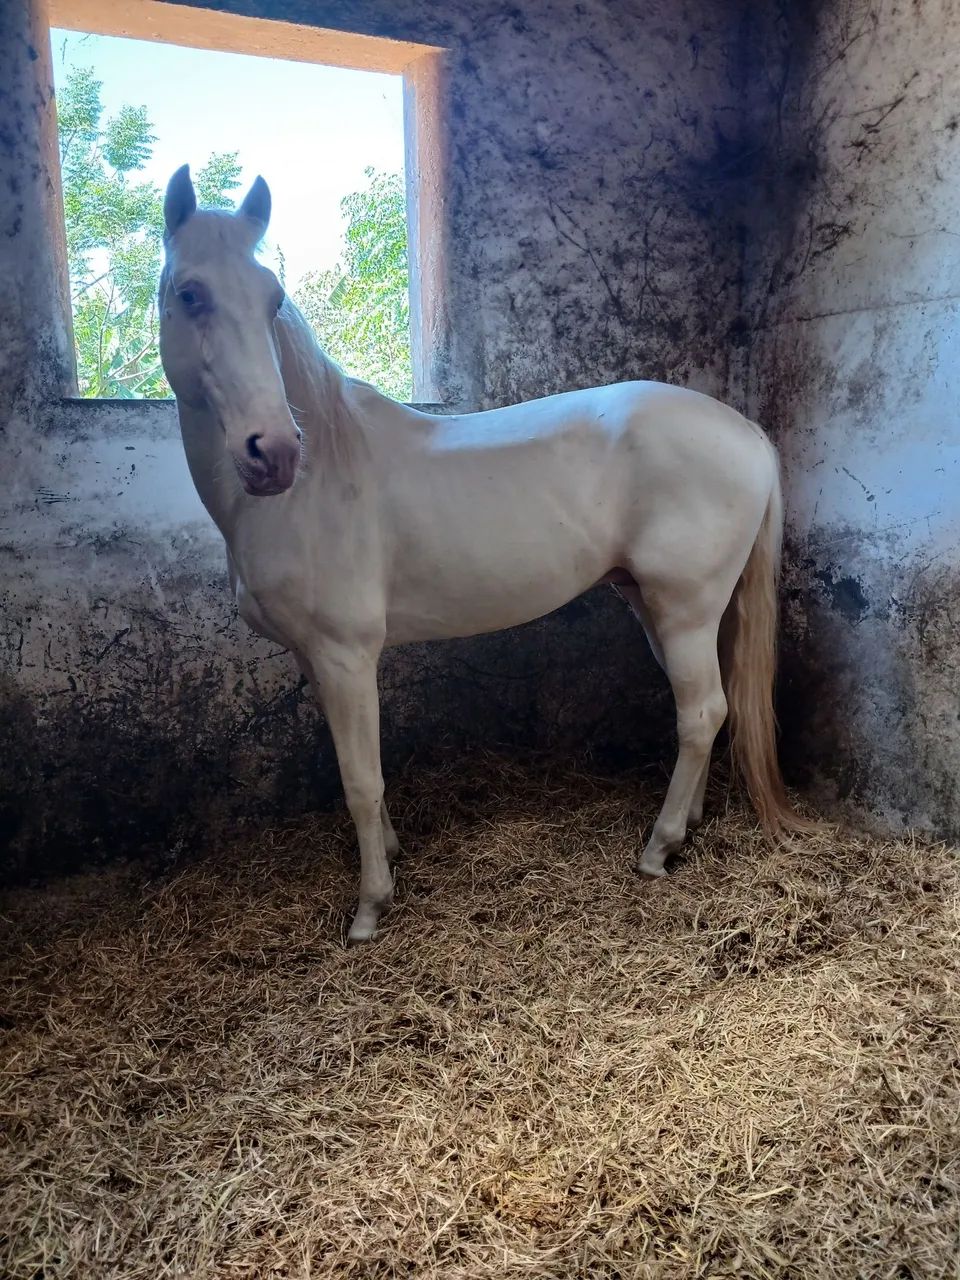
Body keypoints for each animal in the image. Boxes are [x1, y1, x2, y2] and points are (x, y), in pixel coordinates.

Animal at [158, 165, 811, 944]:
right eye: (189, 293)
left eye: (272, 299)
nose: (274, 452)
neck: (314, 483)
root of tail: (747, 431)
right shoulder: (313, 660)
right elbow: (362, 774)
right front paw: (392, 855)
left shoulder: (345, 655)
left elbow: (361, 780)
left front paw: (371, 907)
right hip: (661, 608)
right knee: (709, 712)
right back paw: (688, 826)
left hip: (683, 609)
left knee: (702, 713)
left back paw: (657, 848)